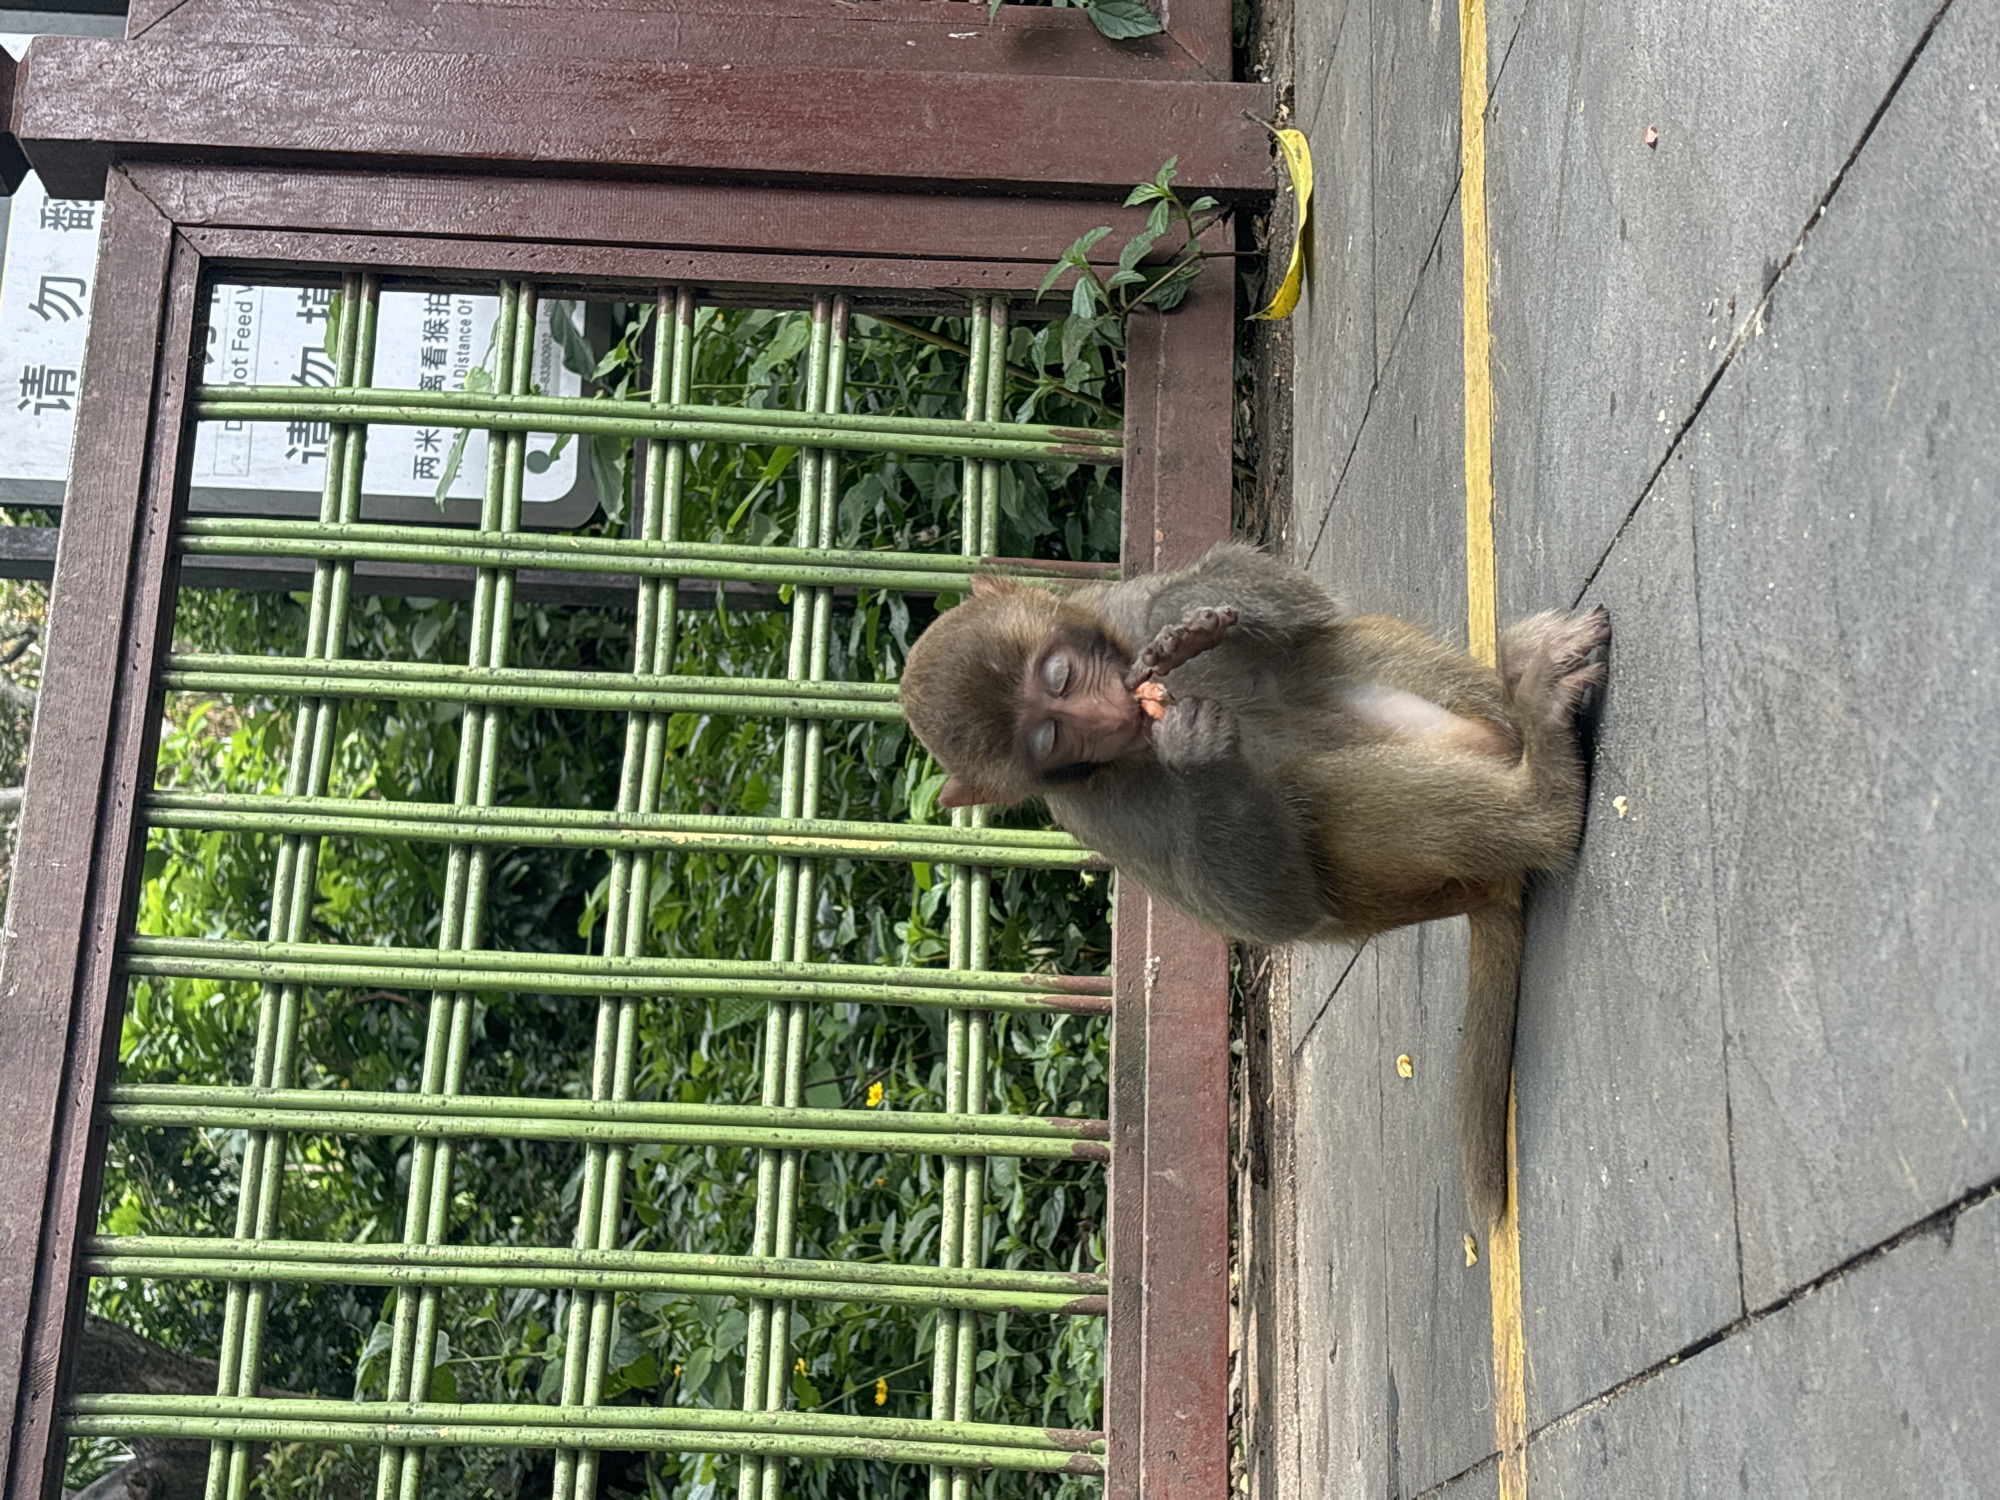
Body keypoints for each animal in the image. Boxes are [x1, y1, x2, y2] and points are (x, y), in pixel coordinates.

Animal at [897, 543, 1608, 1227]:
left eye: (1059, 677)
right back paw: (1545, 793)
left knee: (1322, 650)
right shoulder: (1106, 819)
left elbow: (1281, 598)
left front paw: (1181, 628)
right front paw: (1200, 756)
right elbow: (1276, 911)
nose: (1108, 710)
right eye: (1049, 736)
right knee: (1314, 795)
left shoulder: (1112, 605)